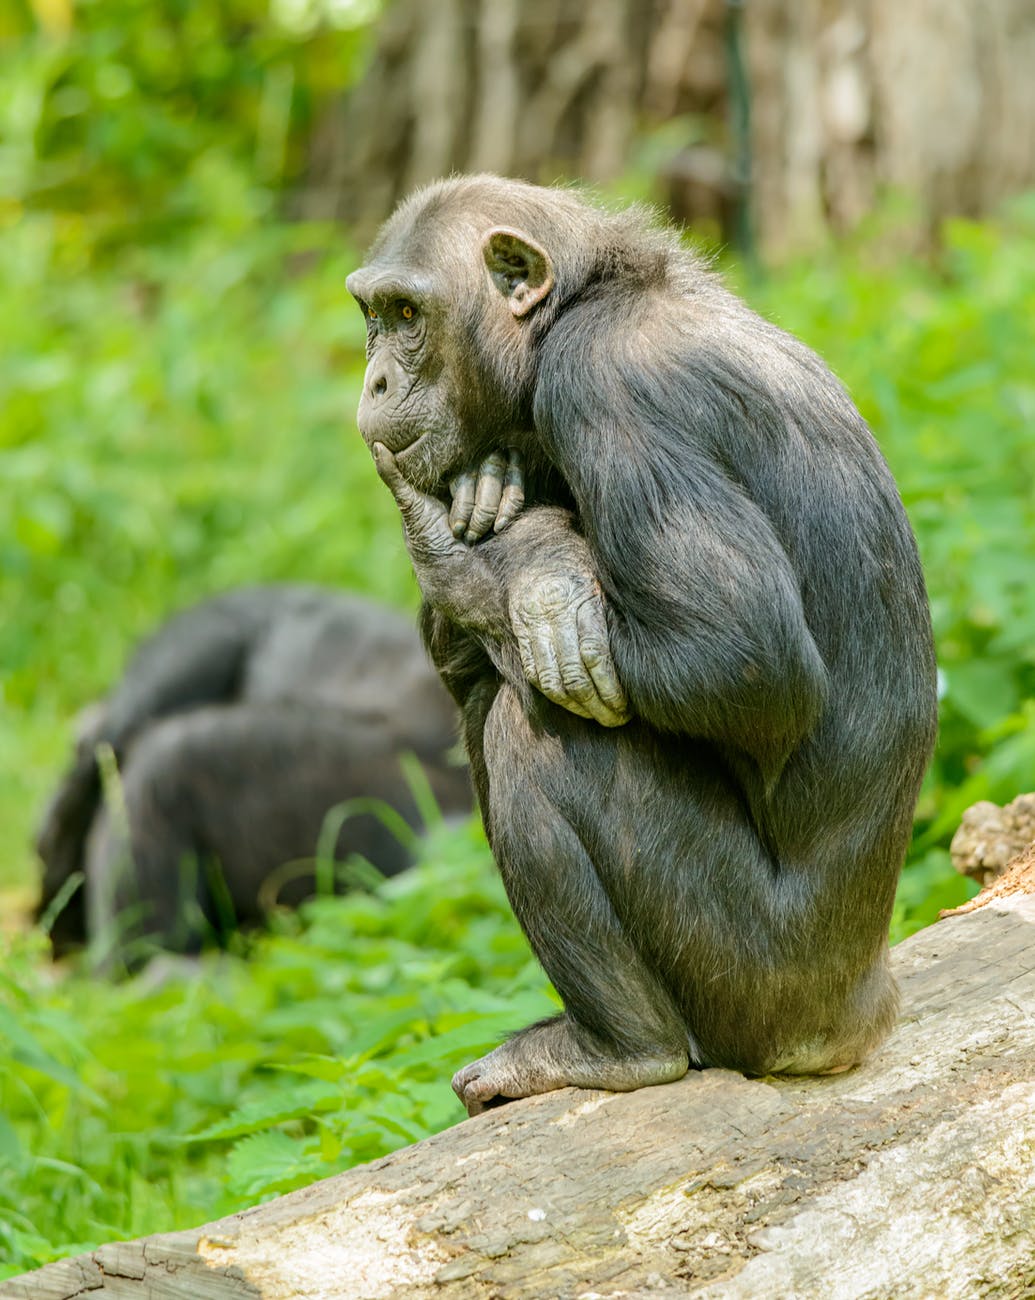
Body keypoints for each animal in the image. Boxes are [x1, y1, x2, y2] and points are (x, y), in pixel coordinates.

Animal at [348, 172, 936, 1112]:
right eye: (371, 312)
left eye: (408, 315)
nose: (372, 378)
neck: (580, 307)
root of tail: (857, 1023)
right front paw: (503, 488)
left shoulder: (607, 389)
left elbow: (742, 659)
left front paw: (508, 561)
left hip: (748, 979)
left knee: (536, 736)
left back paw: (616, 1049)